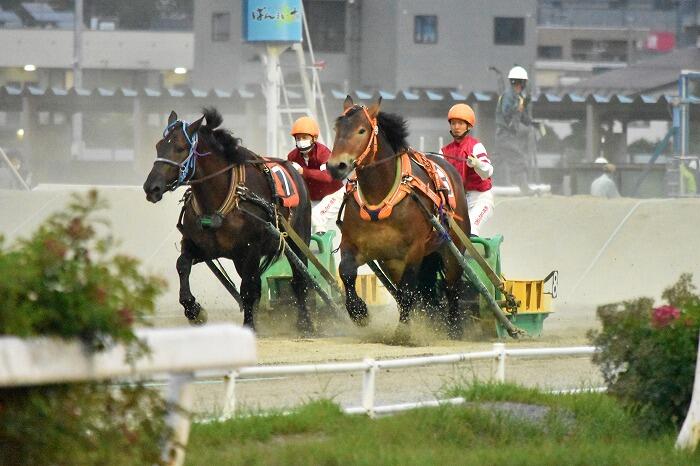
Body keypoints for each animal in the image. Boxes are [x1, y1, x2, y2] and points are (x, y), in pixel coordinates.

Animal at [142, 107, 312, 334]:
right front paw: (194, 310)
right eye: (159, 146)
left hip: (298, 239)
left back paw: (305, 323)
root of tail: (294, 169)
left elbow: (248, 289)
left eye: (180, 148)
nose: (151, 187)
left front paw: (249, 325)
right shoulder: (201, 247)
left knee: (300, 279)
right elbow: (182, 265)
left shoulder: (250, 250)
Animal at [326, 96, 476, 336]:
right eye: (337, 129)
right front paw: (359, 312)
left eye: (361, 130)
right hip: (393, 261)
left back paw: (454, 328)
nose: (335, 166)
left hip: (453, 246)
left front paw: (403, 331)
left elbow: (407, 291)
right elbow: (347, 272)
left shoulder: (414, 251)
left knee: (451, 285)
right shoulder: (357, 244)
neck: (381, 197)